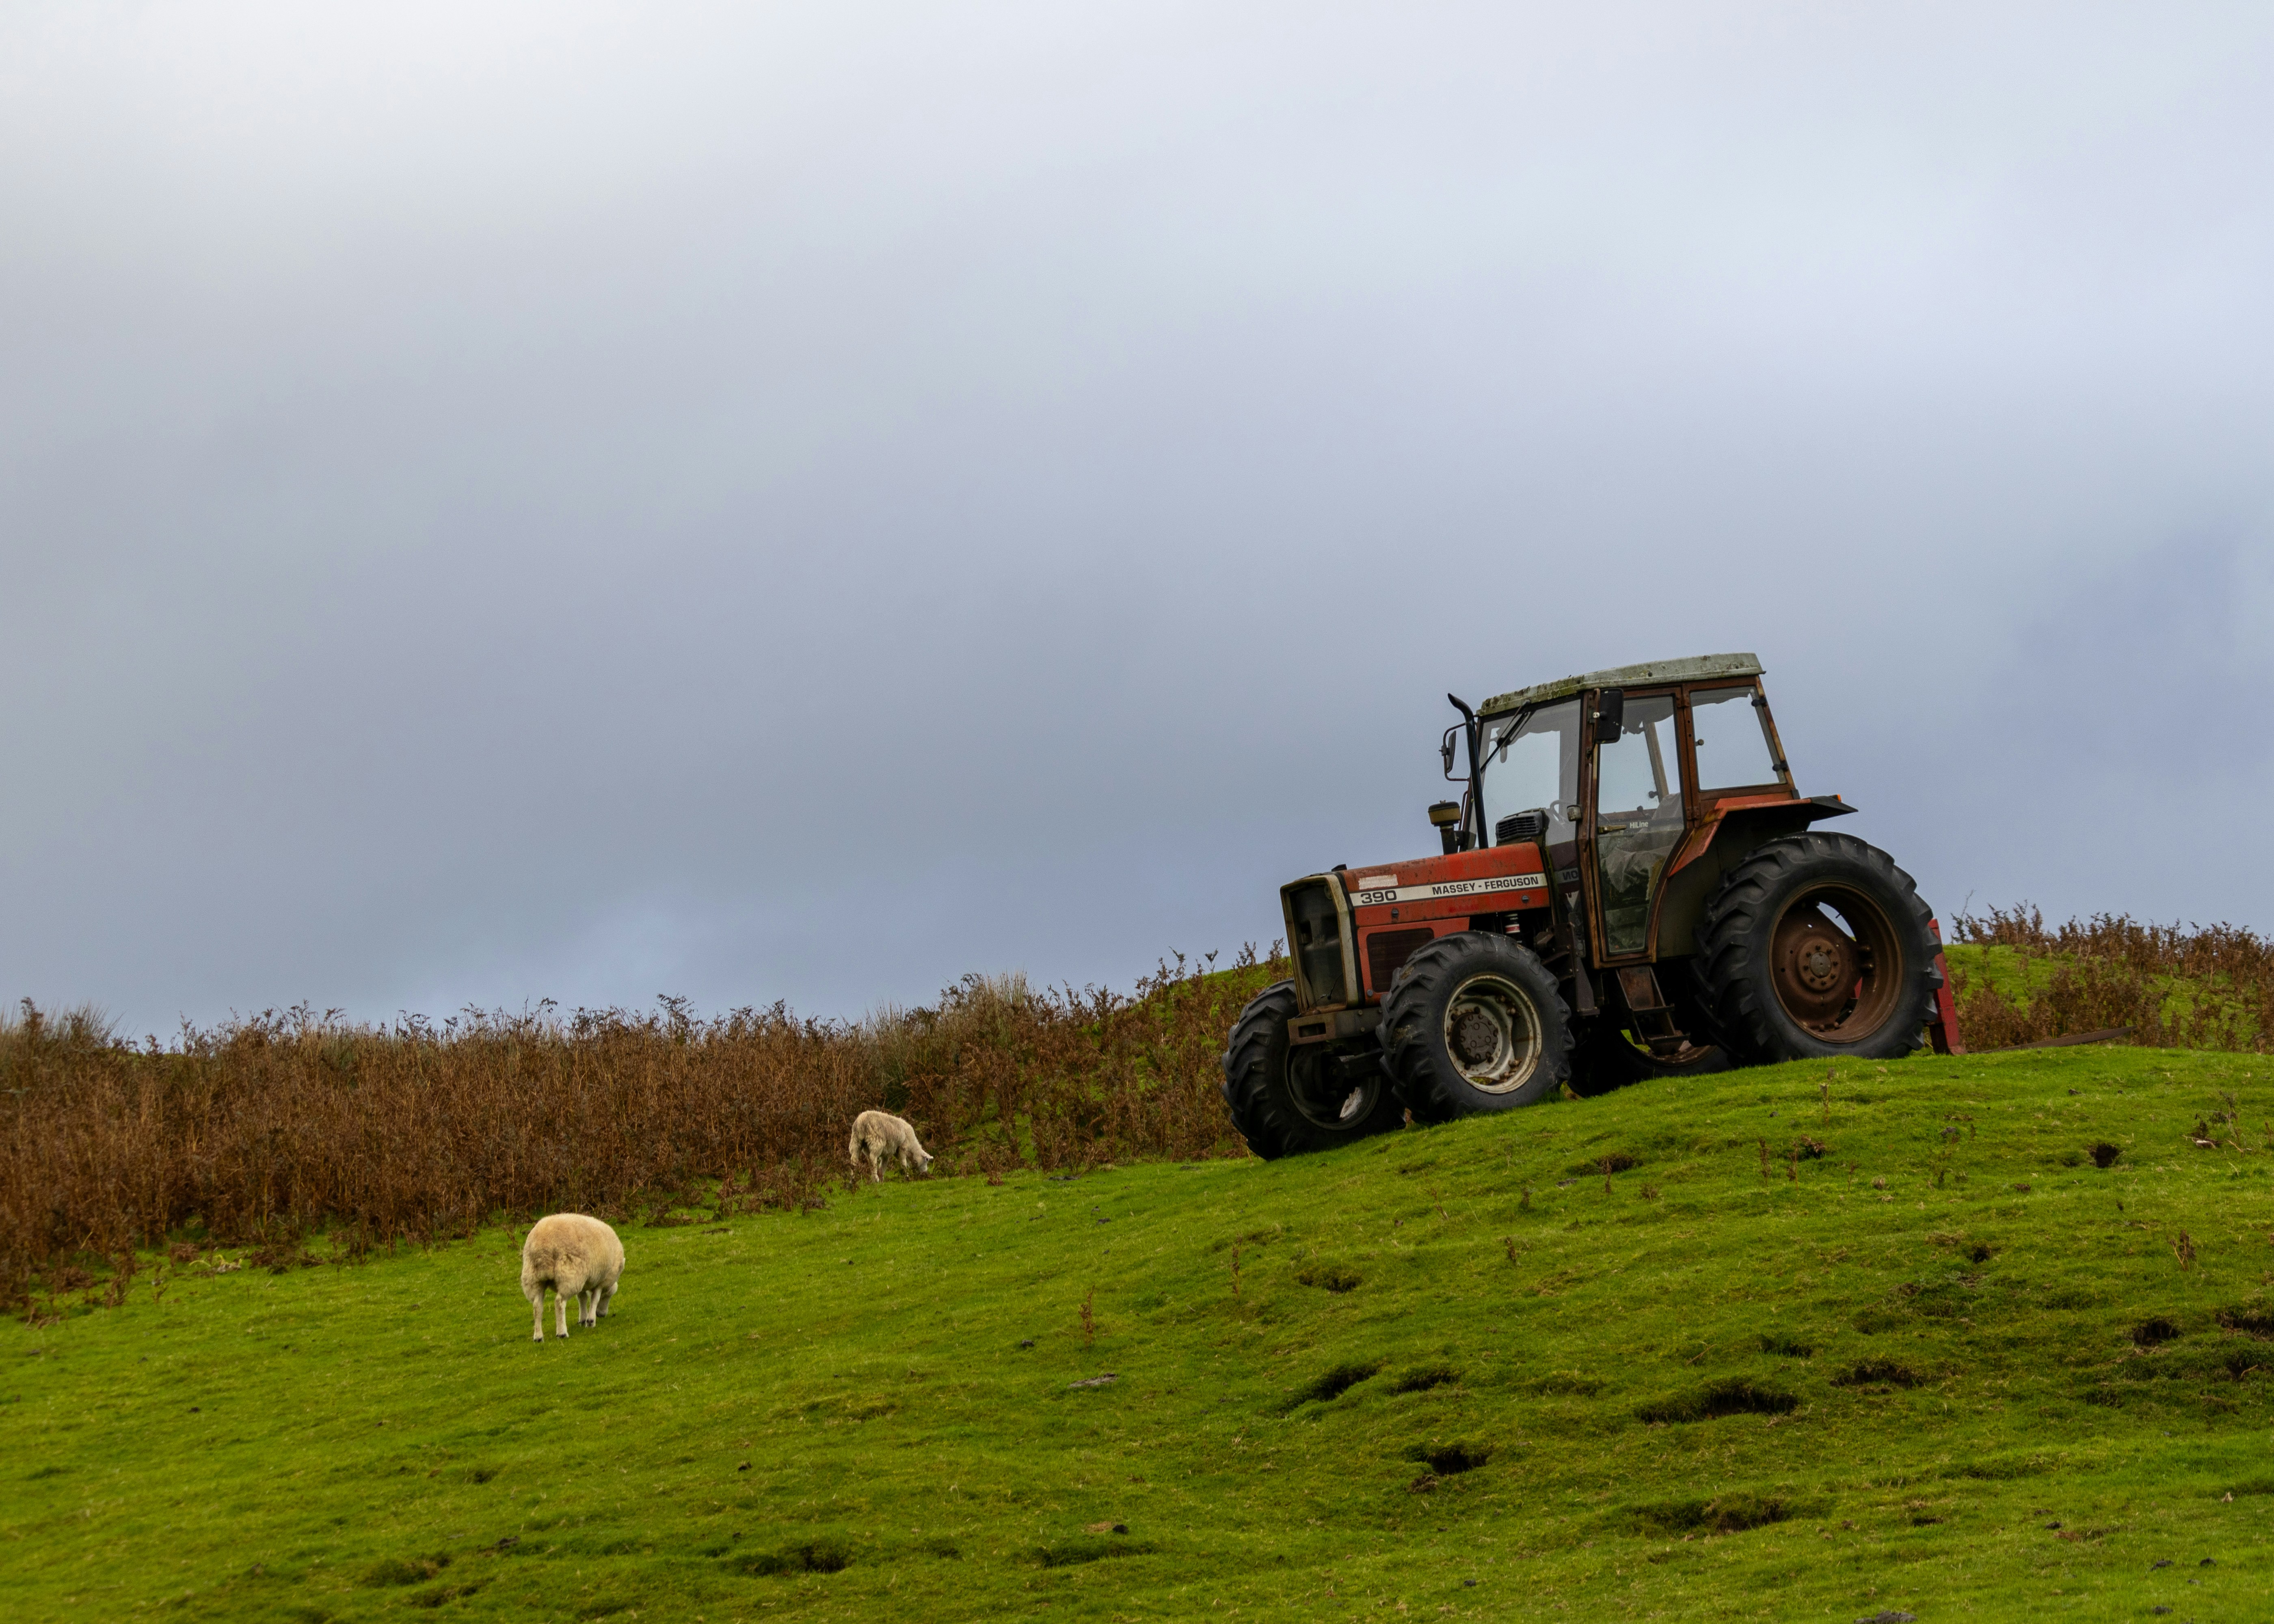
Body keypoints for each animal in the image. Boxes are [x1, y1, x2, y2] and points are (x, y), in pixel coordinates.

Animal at [520, 1213, 624, 1343]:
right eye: (609, 1296)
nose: (602, 1315)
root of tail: (543, 1249)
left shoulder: (584, 1281)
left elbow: (582, 1298)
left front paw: (583, 1319)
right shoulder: (601, 1281)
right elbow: (595, 1299)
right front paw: (591, 1321)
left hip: (534, 1277)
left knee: (537, 1306)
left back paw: (538, 1337)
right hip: (569, 1274)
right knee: (559, 1302)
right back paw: (562, 1333)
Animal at [848, 1109, 935, 1181]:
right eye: (927, 1160)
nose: (926, 1173)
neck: (912, 1148)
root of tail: (861, 1122)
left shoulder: (886, 1153)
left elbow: (883, 1166)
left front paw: (882, 1180)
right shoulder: (903, 1148)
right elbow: (903, 1163)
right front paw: (907, 1177)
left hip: (856, 1141)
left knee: (854, 1160)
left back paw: (852, 1181)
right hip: (876, 1142)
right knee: (873, 1158)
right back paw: (876, 1179)